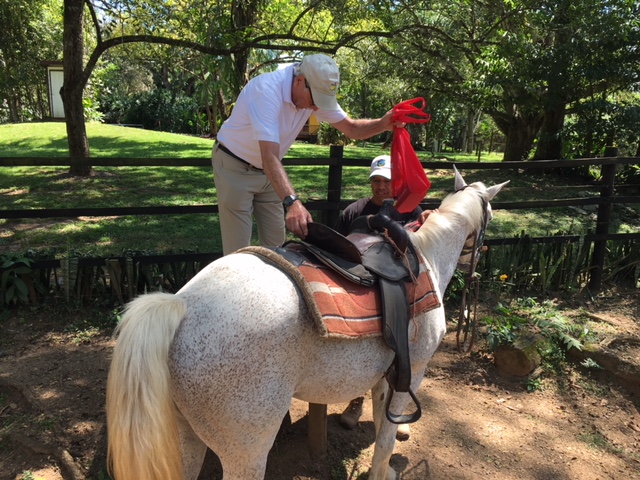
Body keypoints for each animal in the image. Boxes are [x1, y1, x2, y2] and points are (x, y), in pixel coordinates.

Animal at [106, 167, 508, 480]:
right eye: (491, 217)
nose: (481, 255)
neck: (425, 257)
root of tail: (182, 306)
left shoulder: (388, 372)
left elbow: (383, 420)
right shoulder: (414, 368)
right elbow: (387, 434)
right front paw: (384, 470)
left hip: (185, 436)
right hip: (246, 453)